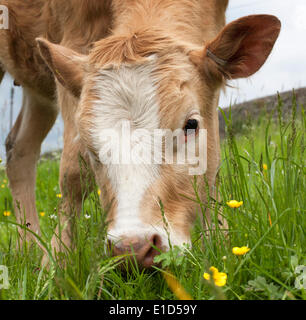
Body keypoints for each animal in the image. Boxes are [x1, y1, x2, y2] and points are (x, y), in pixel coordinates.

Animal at [0, 0, 280, 268]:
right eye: (91, 147)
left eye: (191, 124)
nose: (132, 248)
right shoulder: (74, 38)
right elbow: (73, 173)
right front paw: (57, 262)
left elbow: (211, 170)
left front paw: (222, 246)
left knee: (19, 149)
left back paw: (29, 248)